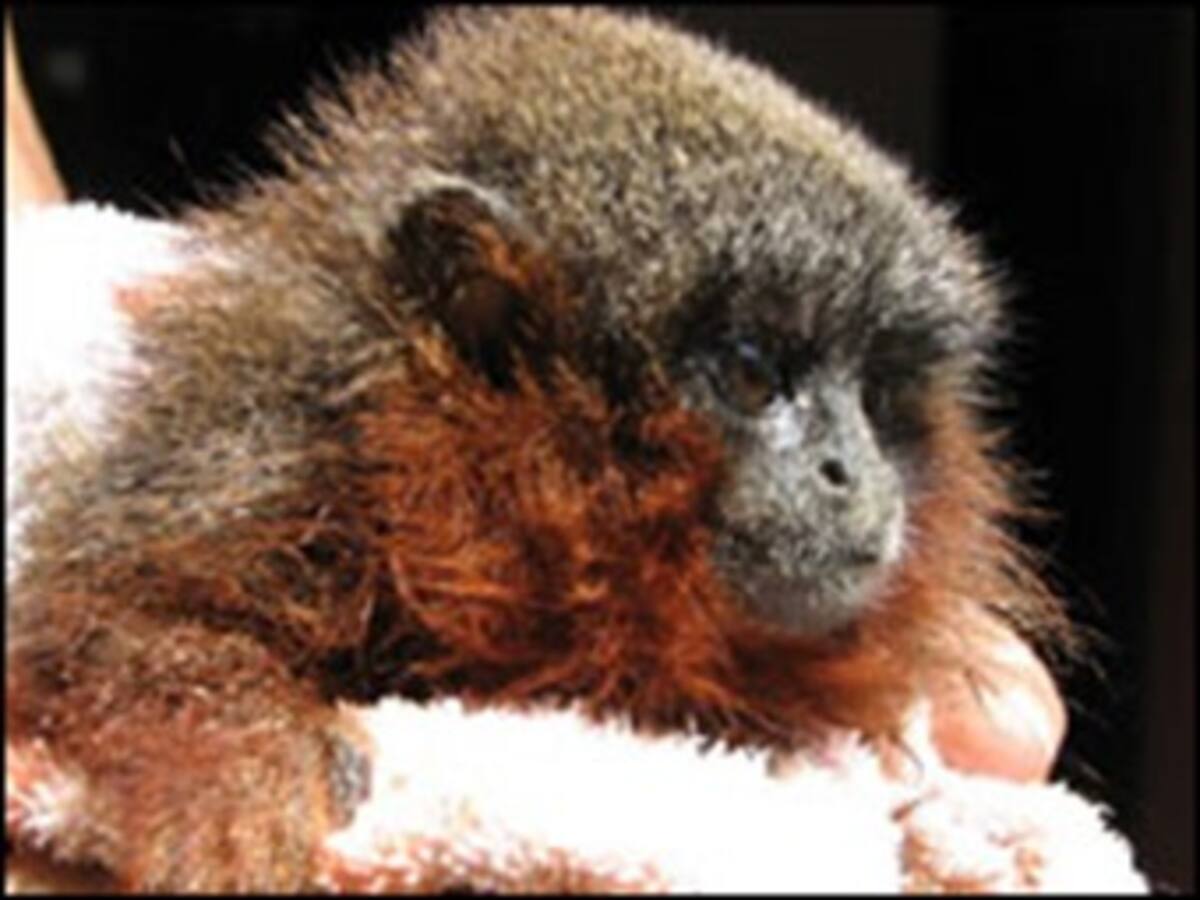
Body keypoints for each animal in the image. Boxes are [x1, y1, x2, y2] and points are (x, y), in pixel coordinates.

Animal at [6, 6, 1076, 892]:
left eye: (878, 399)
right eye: (749, 372)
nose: (850, 471)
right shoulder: (272, 435)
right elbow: (82, 625)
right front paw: (238, 764)